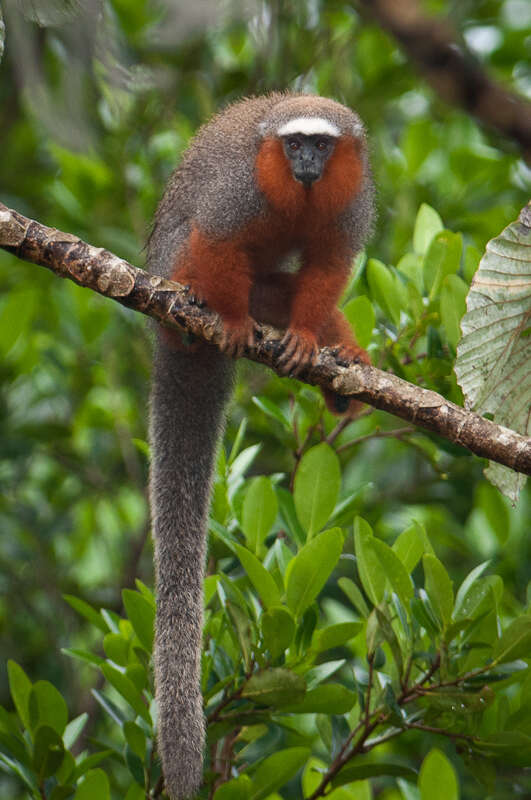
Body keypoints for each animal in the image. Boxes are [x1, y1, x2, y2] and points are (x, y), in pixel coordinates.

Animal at [148, 92, 376, 792]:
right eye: (294, 144)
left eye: (321, 146)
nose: (304, 163)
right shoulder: (238, 191)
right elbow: (217, 236)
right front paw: (228, 320)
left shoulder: (353, 200)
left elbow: (329, 266)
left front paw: (305, 338)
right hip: (169, 275)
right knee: (200, 257)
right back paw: (203, 316)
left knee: (282, 286)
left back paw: (341, 362)